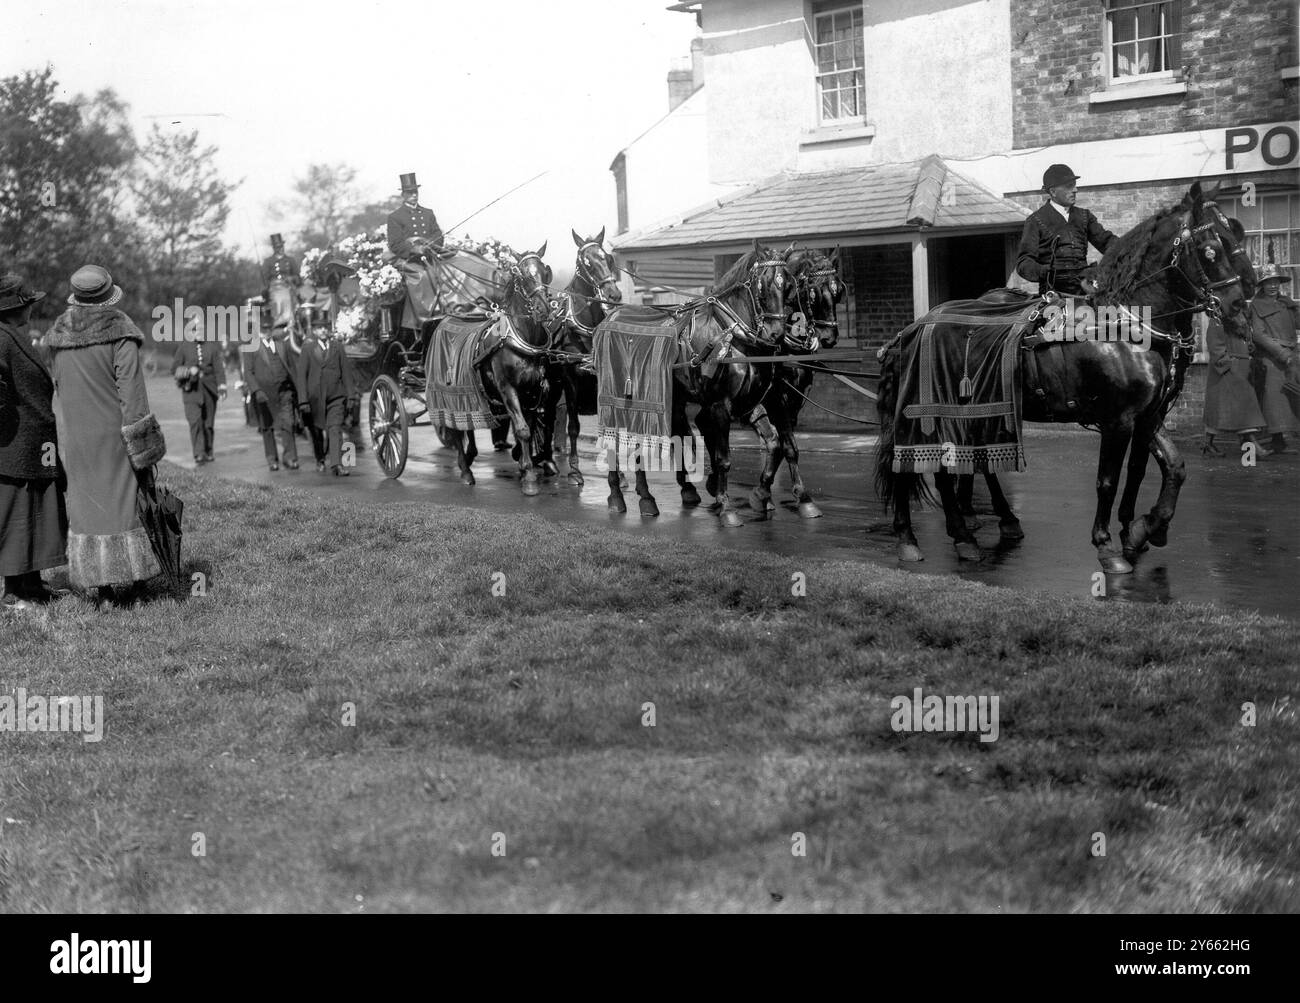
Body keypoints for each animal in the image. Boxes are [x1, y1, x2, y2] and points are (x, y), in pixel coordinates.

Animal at [600, 240, 790, 530]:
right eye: (762, 285)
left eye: (787, 284)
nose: (775, 334)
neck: (728, 332)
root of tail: (611, 315)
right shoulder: (719, 405)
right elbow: (723, 458)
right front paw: (727, 508)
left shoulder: (749, 403)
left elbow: (774, 443)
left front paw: (760, 495)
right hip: (619, 398)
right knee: (619, 442)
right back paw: (618, 497)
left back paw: (649, 498)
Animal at [878, 180, 1253, 571]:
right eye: (1211, 249)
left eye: (1235, 235)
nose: (1238, 306)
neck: (1128, 327)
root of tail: (912, 330)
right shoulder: (1118, 420)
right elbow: (1108, 480)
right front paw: (1106, 545)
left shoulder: (1149, 416)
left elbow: (1158, 470)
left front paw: (1140, 529)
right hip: (931, 411)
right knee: (911, 464)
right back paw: (910, 538)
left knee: (958, 464)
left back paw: (971, 533)